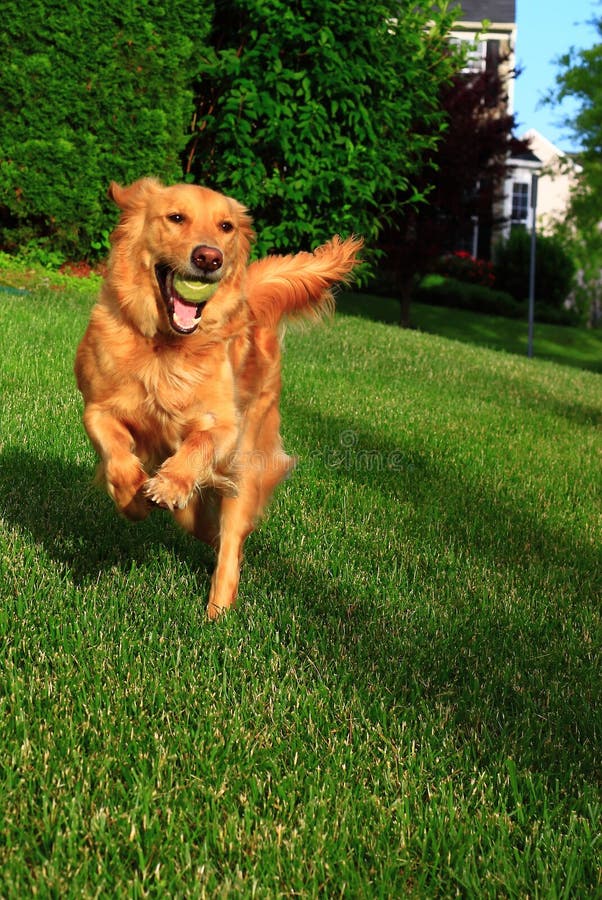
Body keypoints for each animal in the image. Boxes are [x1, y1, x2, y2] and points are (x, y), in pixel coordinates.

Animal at [72, 181, 358, 620]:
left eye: (225, 226)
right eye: (176, 217)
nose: (209, 258)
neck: (167, 347)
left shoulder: (226, 426)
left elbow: (200, 444)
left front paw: (170, 483)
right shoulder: (97, 407)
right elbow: (117, 456)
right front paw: (133, 498)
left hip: (248, 459)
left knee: (231, 540)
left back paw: (218, 609)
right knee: (202, 525)